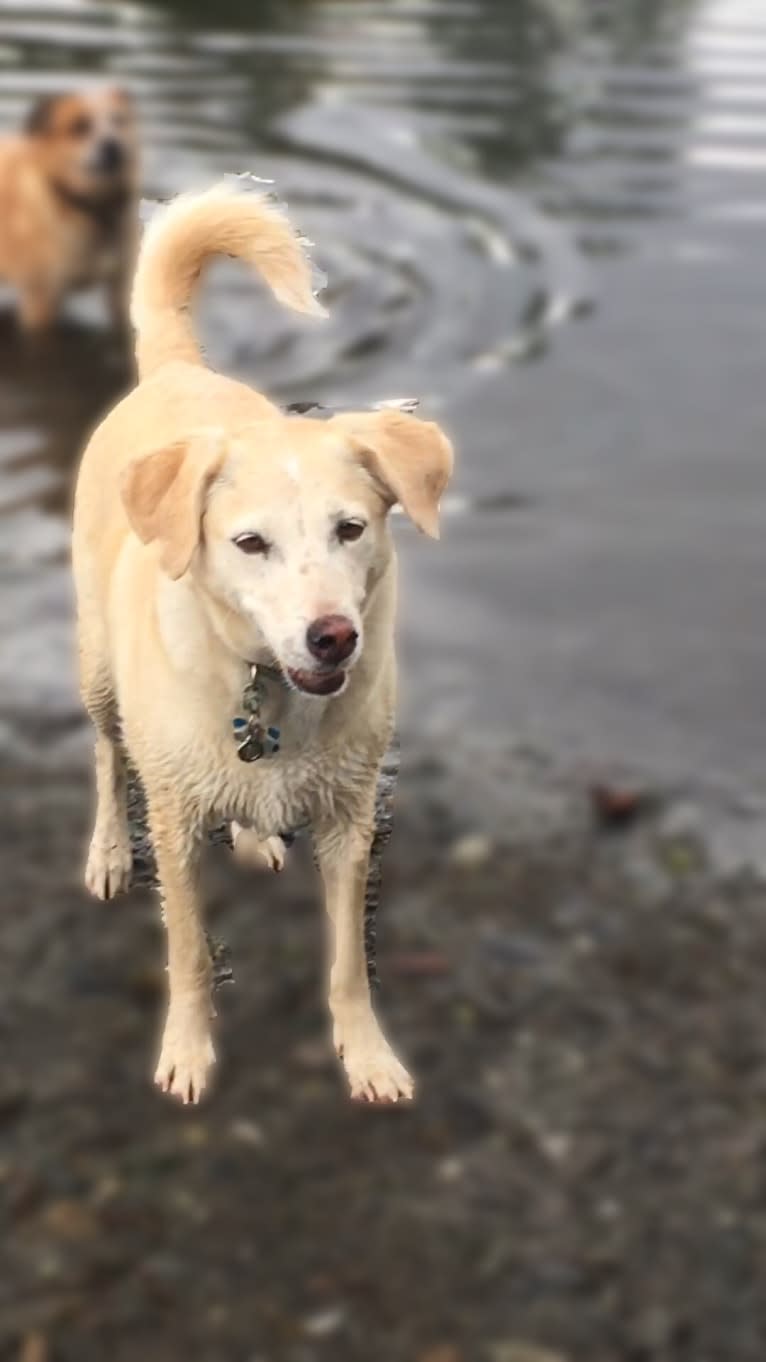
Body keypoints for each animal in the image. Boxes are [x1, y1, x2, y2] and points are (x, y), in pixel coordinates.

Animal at [70, 181, 452, 1100]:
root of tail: (178, 369)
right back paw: (107, 851)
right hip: (97, 675)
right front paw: (187, 1051)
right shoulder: (174, 824)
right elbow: (187, 953)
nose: (333, 639)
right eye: (249, 544)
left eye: (352, 529)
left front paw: (367, 1054)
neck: (263, 687)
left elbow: (349, 962)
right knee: (104, 755)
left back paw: (253, 835)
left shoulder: (352, 822)